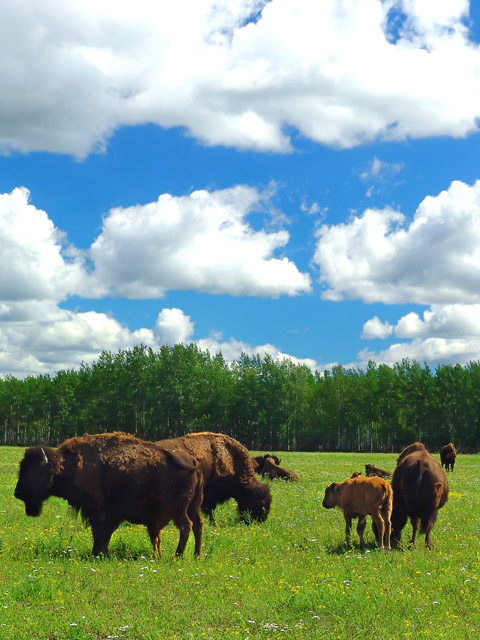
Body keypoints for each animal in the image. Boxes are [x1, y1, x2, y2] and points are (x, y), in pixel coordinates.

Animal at [13, 432, 204, 556]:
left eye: (35, 472)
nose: (17, 492)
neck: (68, 465)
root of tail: (194, 462)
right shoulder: (111, 514)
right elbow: (105, 533)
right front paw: (102, 552)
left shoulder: (97, 510)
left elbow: (99, 531)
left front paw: (97, 553)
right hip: (194, 506)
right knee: (198, 525)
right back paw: (196, 555)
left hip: (179, 509)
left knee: (186, 526)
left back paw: (178, 555)